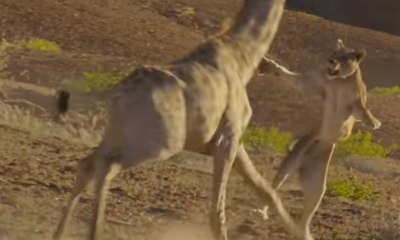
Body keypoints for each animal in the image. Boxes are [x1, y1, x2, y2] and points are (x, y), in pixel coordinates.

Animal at [50, 0, 306, 240]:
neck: (243, 58)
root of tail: (120, 94)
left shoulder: (230, 140)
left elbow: (268, 192)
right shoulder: (229, 136)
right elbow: (217, 212)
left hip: (118, 133)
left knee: (87, 164)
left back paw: (60, 234)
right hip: (162, 142)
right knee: (107, 166)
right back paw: (94, 232)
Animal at [253, 38, 382, 239]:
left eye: (344, 57)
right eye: (334, 53)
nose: (331, 61)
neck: (339, 81)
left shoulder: (357, 102)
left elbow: (363, 110)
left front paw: (374, 123)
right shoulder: (314, 82)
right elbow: (293, 79)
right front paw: (269, 64)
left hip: (317, 182)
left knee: (310, 206)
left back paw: (304, 232)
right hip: (291, 163)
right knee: (274, 187)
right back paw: (262, 212)